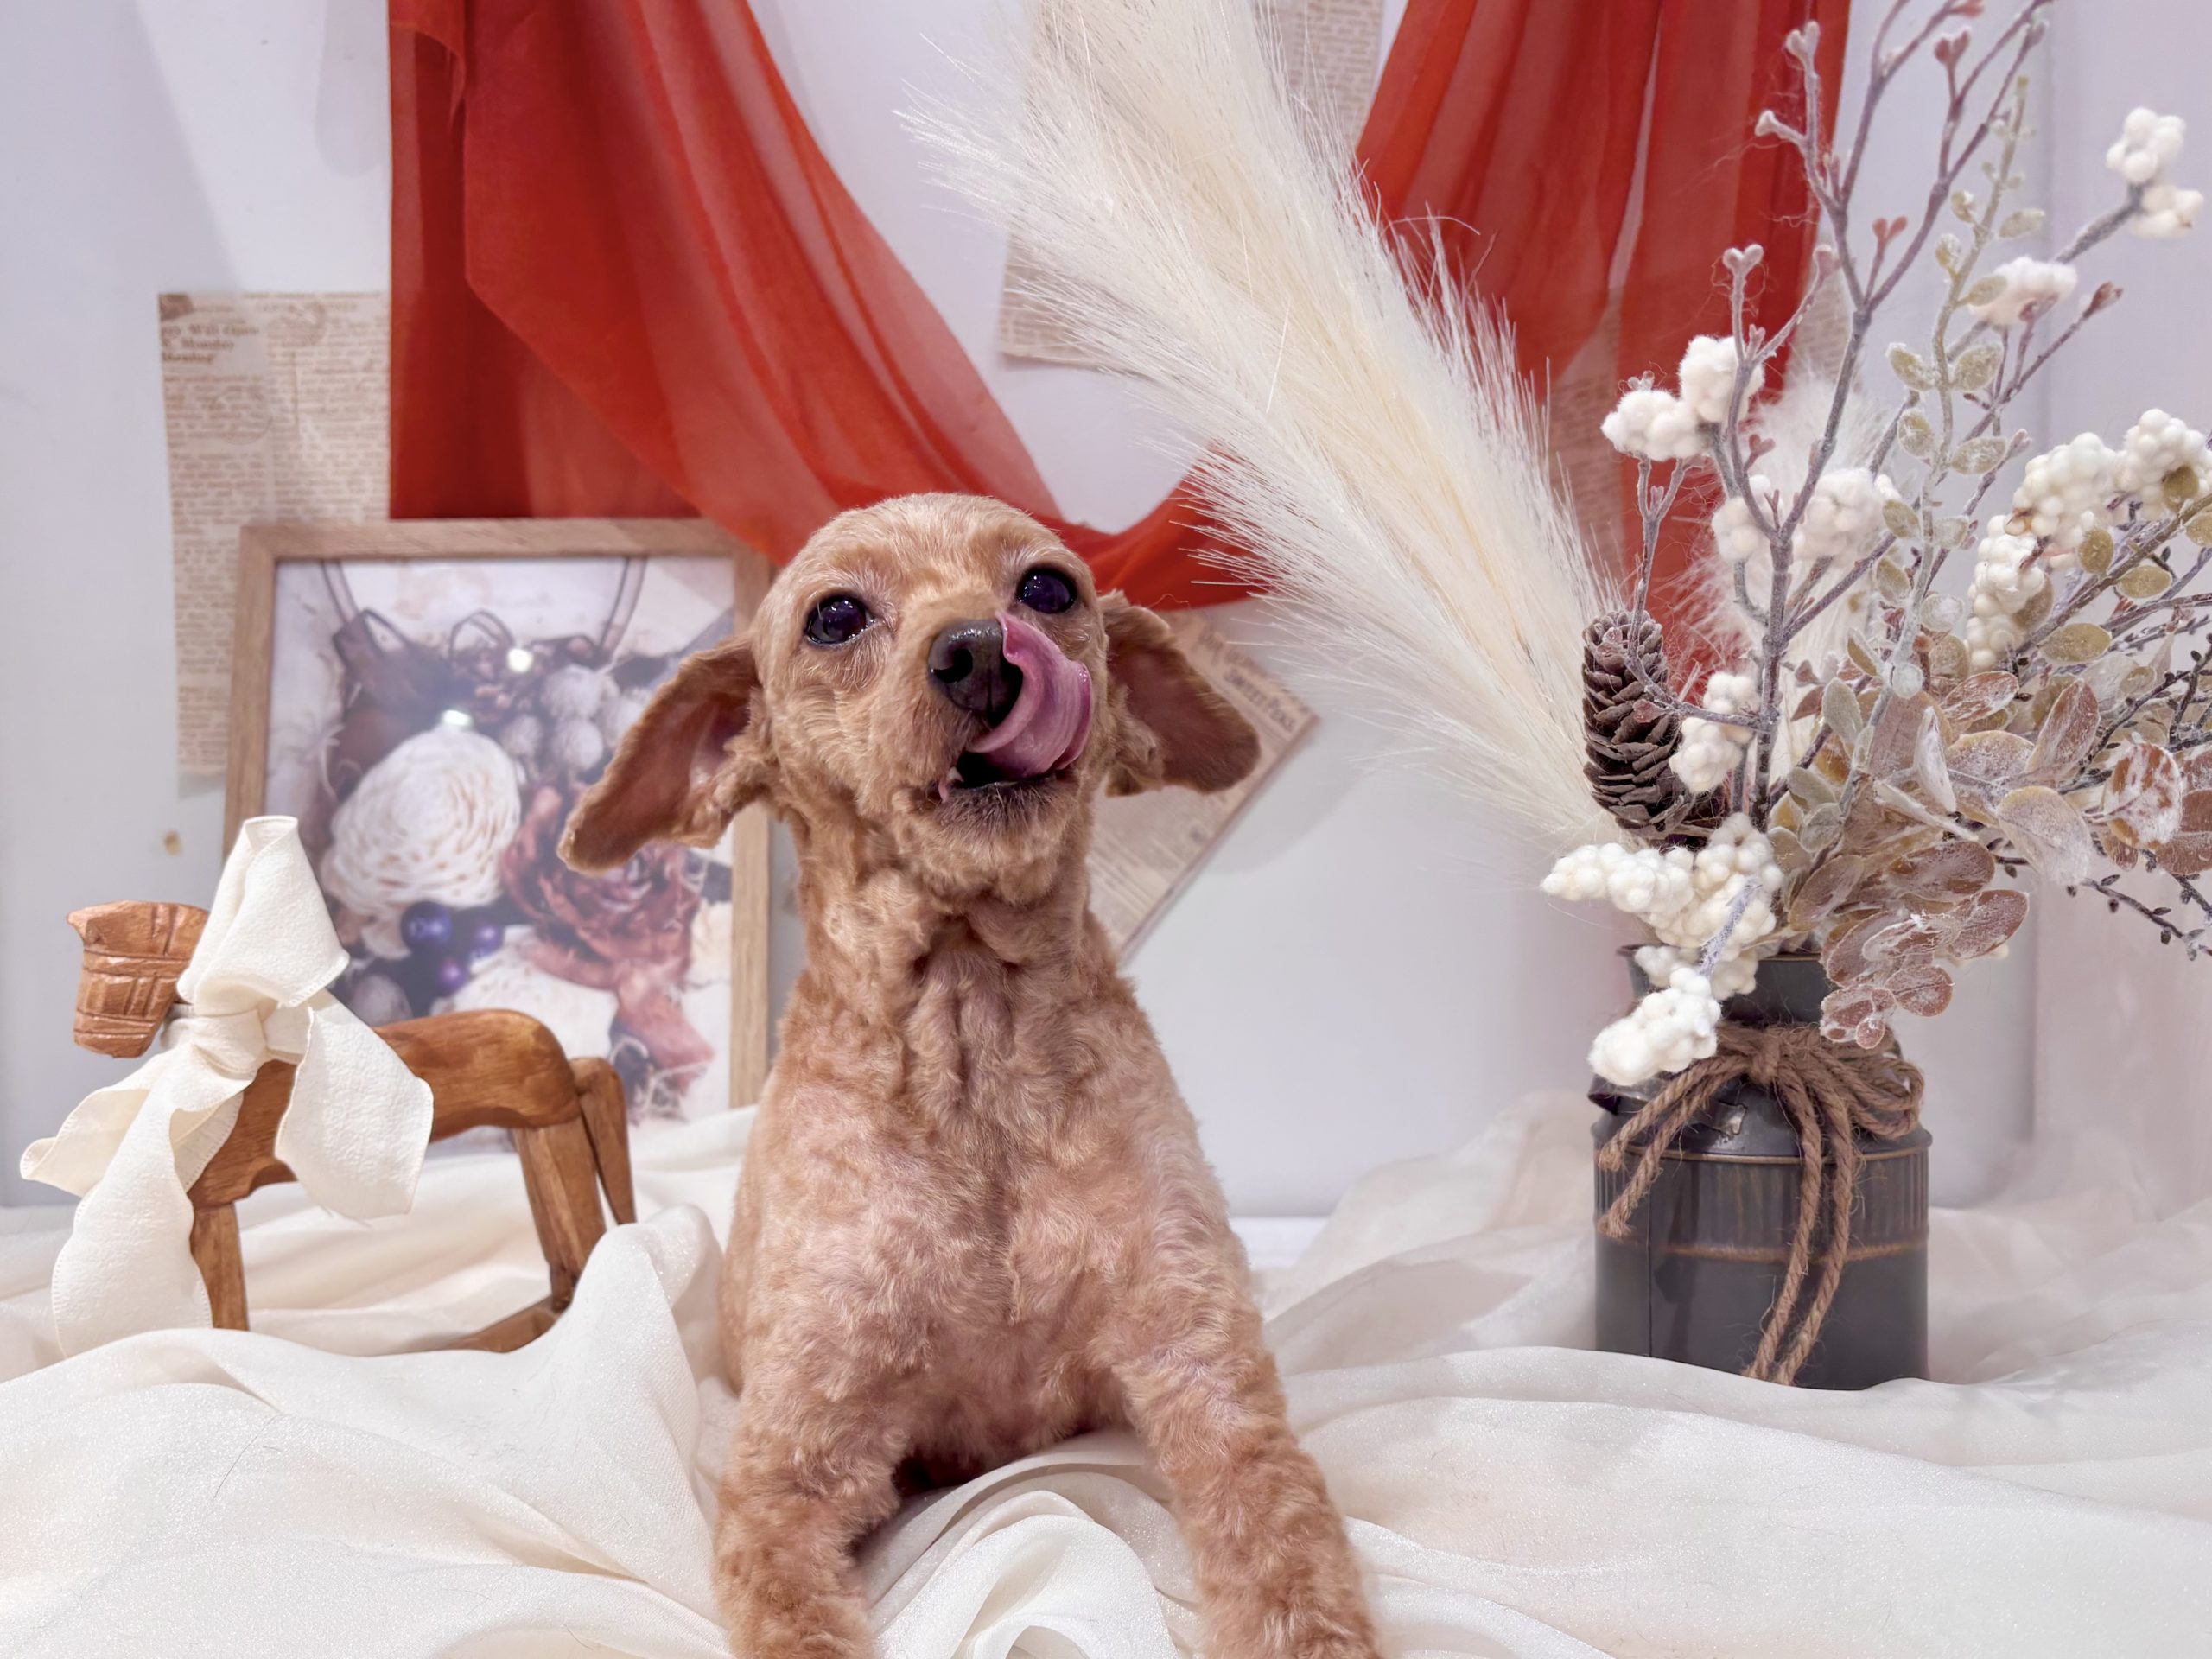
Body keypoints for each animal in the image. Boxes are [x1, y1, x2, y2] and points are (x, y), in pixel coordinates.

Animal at [563, 494, 1379, 1658]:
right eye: (835, 615)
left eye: (1046, 587)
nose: (983, 649)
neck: (971, 1044)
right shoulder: (787, 1470)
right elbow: (798, 1622)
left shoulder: (1208, 1383)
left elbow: (1290, 1569)